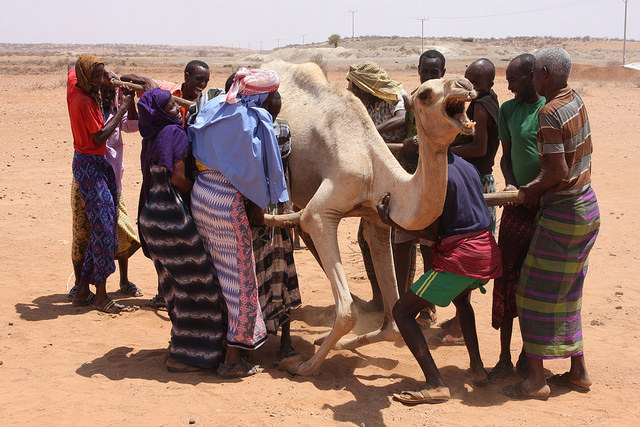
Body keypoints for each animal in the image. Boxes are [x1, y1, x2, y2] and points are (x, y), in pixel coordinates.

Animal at [260, 59, 476, 374]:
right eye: (425, 94)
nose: (465, 84)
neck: (375, 169)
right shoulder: (322, 212)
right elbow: (346, 313)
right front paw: (304, 366)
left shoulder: (377, 218)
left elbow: (393, 327)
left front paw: (335, 344)